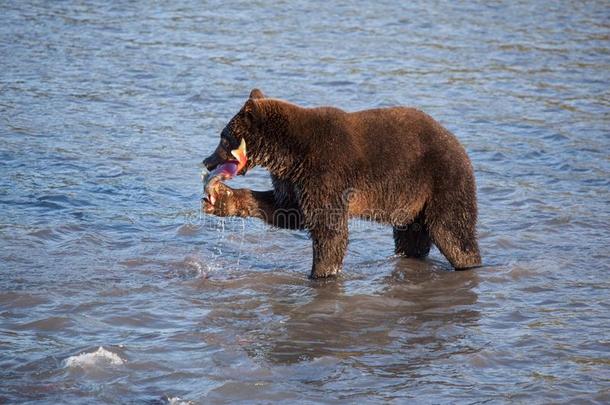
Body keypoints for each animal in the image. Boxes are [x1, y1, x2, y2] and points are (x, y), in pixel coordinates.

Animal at [203, 88, 480, 278]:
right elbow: (287, 210)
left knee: (453, 232)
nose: (207, 161)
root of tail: (458, 144)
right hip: (412, 203)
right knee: (411, 238)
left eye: (223, 138)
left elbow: (328, 227)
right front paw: (222, 200)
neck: (288, 154)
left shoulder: (325, 170)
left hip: (441, 180)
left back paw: (469, 262)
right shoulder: (292, 179)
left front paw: (320, 272)